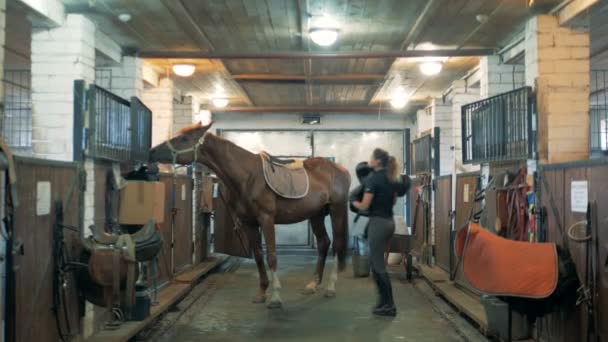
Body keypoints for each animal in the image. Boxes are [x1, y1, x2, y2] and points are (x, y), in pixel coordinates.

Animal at [148, 122, 352, 308]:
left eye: (183, 138)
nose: (151, 151)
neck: (248, 176)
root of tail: (341, 169)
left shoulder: (266, 219)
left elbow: (272, 256)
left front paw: (275, 297)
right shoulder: (249, 223)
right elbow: (259, 256)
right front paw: (261, 293)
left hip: (336, 210)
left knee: (337, 244)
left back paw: (330, 287)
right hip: (316, 215)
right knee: (324, 243)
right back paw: (312, 285)